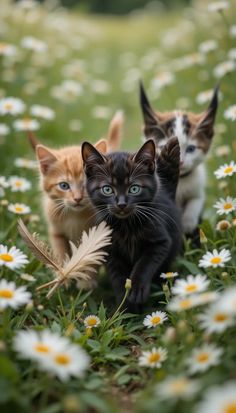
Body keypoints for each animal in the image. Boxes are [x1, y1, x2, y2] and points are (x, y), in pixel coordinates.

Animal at [29, 111, 123, 260]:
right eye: (64, 186)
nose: (77, 198)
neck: (75, 217)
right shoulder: (57, 233)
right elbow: (61, 256)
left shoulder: (100, 236)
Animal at [82, 137, 182, 310]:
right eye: (107, 189)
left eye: (134, 189)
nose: (122, 204)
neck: (126, 227)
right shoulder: (110, 250)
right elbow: (118, 277)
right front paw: (125, 305)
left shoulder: (160, 242)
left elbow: (145, 264)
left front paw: (136, 290)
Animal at [139, 83, 218, 238]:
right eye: (163, 147)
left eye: (191, 149)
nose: (180, 162)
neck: (180, 180)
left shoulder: (198, 189)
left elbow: (196, 201)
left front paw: (188, 223)